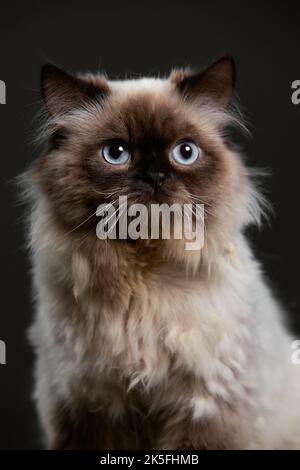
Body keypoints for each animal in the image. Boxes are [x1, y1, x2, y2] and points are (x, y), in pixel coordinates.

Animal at [22, 57, 300, 450]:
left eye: (185, 152)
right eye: (116, 154)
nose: (155, 176)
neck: (144, 280)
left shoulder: (207, 406)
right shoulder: (88, 407)